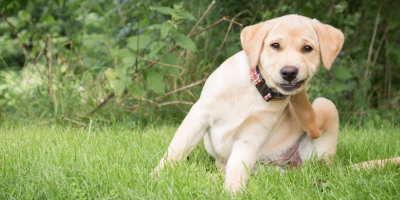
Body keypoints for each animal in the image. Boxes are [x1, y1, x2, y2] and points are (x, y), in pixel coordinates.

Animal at [155, 14, 346, 192]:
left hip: (324, 109)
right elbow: (177, 148)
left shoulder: (249, 138)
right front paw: (158, 176)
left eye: (307, 48)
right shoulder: (200, 114)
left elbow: (238, 167)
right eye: (275, 45)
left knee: (314, 133)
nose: (289, 72)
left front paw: (232, 191)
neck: (256, 90)